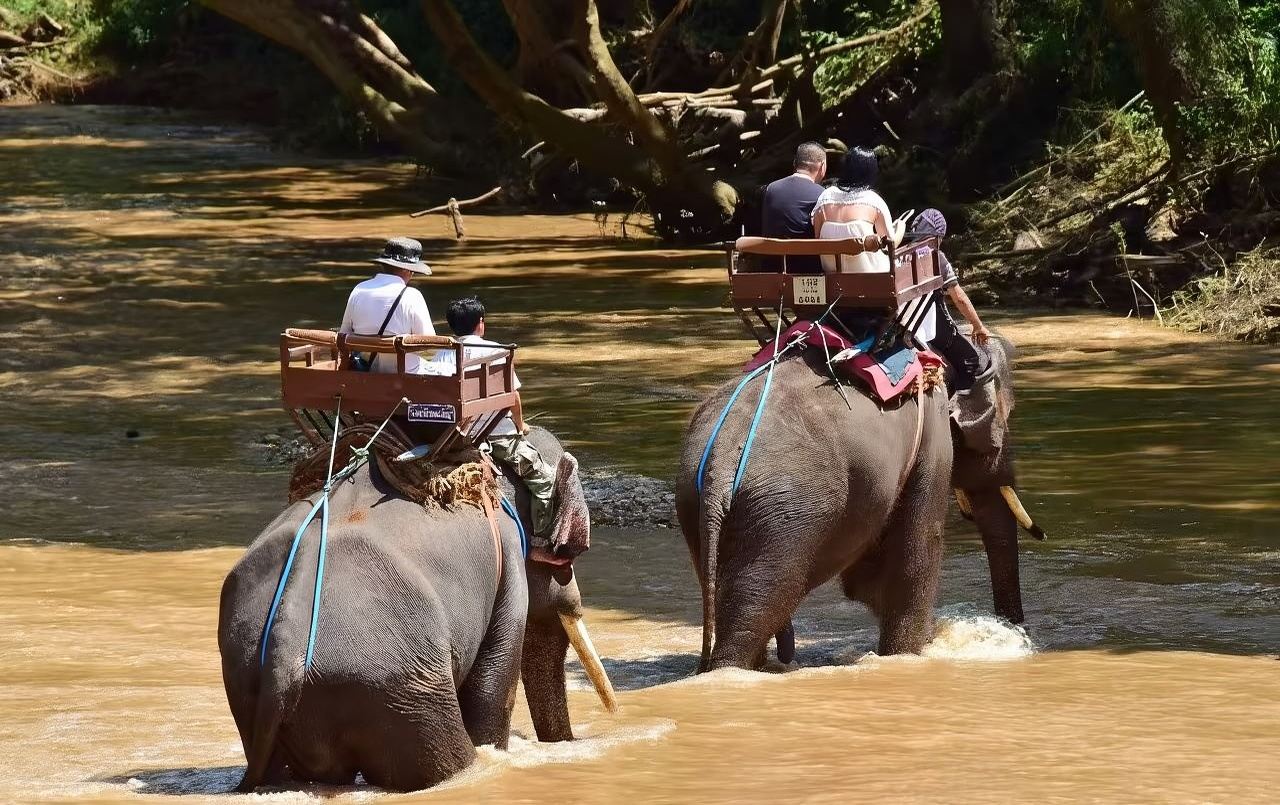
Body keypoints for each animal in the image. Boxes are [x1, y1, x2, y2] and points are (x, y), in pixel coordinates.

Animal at [218, 427, 614, 792]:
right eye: (567, 556)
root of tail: (285, 651)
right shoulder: (509, 560)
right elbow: (494, 680)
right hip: (400, 688)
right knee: (441, 761)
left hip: (259, 688)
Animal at [675, 335, 1036, 671]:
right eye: (1006, 415)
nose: (1017, 629)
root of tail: (723, 458)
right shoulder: (931, 438)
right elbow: (917, 549)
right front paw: (907, 653)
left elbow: (868, 581)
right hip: (781, 517)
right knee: (758, 605)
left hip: (700, 507)